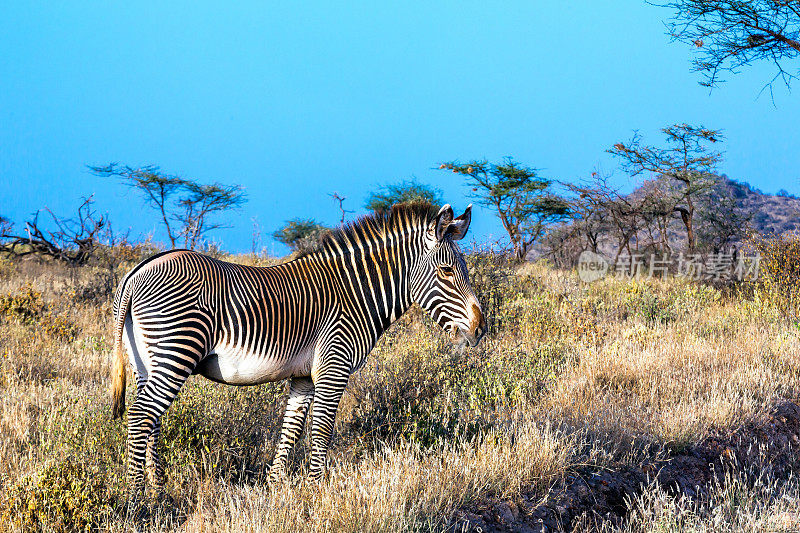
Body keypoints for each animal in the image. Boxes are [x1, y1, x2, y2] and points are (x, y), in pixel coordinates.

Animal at [111, 203, 488, 498]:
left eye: (465, 269)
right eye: (446, 271)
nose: (480, 329)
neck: (356, 293)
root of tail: (137, 271)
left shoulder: (304, 376)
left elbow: (290, 431)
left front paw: (277, 492)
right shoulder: (334, 366)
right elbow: (321, 433)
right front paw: (318, 493)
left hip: (146, 360)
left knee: (151, 420)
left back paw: (159, 491)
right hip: (177, 349)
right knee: (141, 415)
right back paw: (138, 500)